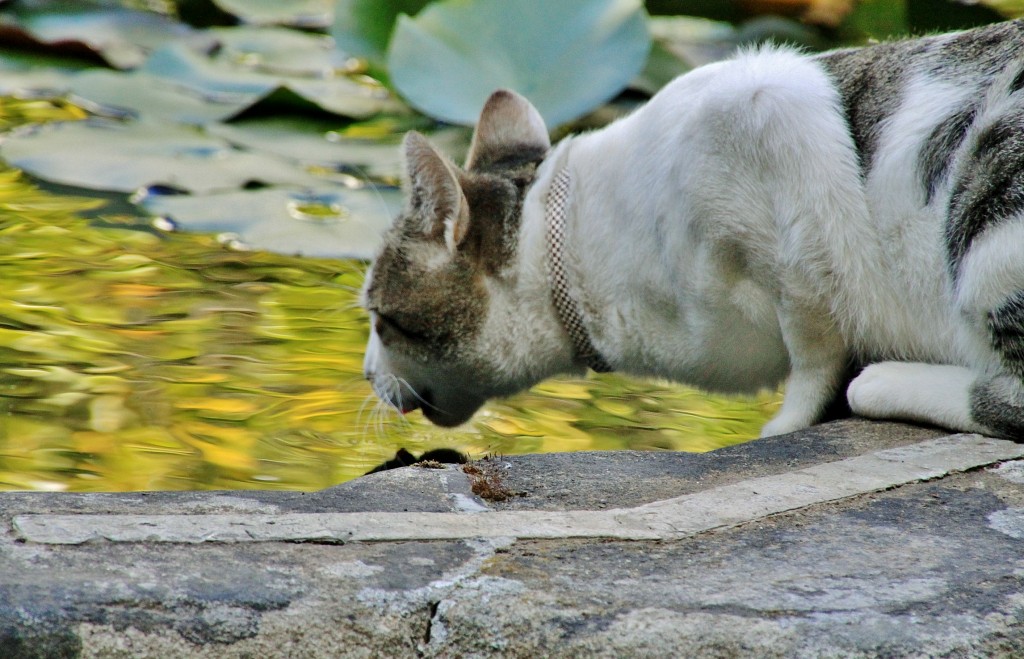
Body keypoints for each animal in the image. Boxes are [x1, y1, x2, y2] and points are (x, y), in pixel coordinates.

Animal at [362, 20, 1024, 440]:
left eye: (378, 317)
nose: (366, 373)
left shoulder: (773, 121)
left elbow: (814, 350)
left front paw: (786, 425)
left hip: (988, 218)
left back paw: (887, 380)